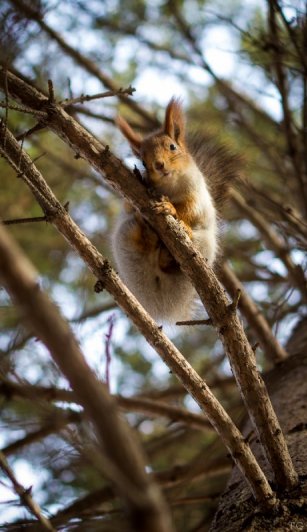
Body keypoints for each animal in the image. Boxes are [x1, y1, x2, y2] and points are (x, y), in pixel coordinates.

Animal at [112, 100, 239, 324]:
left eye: (172, 146)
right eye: (142, 161)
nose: (158, 165)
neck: (169, 187)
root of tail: (163, 302)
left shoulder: (196, 194)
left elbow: (190, 210)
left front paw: (170, 208)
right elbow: (128, 206)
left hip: (203, 245)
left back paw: (170, 251)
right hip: (125, 237)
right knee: (138, 236)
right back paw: (148, 235)